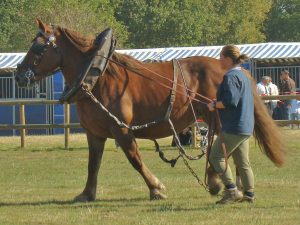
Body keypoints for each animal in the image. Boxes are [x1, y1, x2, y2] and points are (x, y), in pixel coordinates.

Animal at [14, 19, 286, 202]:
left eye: (37, 48)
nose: (19, 75)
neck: (97, 75)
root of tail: (229, 68)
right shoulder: (95, 133)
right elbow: (93, 164)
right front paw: (87, 194)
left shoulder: (121, 129)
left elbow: (135, 159)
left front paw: (156, 188)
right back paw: (236, 186)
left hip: (218, 116)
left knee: (222, 147)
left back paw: (218, 183)